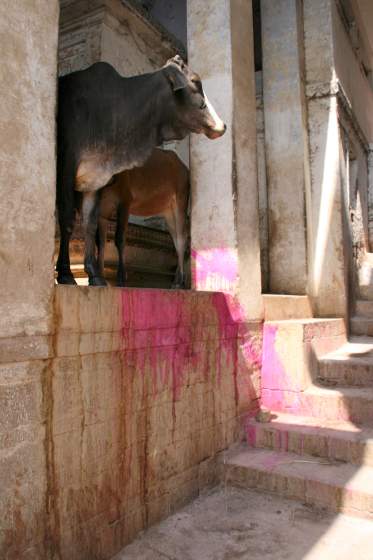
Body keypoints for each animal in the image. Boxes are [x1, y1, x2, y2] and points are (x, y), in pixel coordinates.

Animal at [55, 55, 224, 284]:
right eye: (195, 82)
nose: (222, 125)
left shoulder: (95, 181)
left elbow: (89, 225)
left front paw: (94, 275)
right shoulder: (66, 166)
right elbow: (68, 219)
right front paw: (65, 273)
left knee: (180, 239)